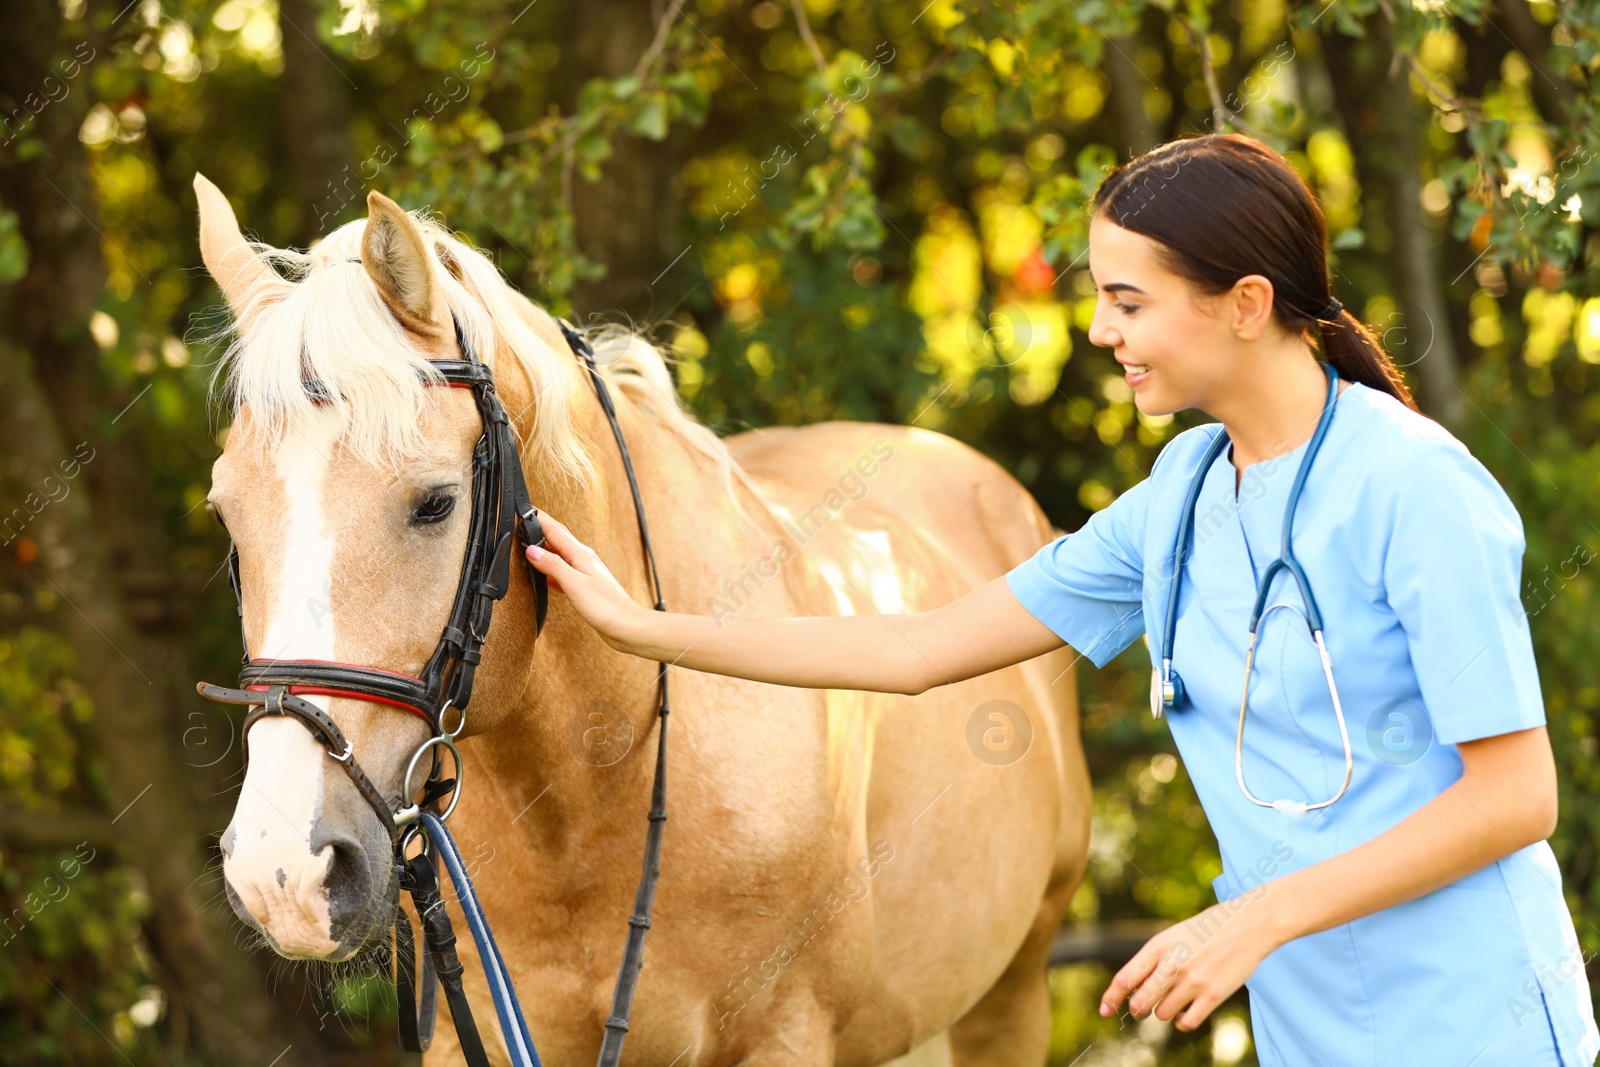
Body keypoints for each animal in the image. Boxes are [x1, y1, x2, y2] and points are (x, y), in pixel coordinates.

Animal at [196, 171, 1088, 1062]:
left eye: (435, 502)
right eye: (226, 514)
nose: (283, 871)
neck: (593, 796)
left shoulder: (789, 1033)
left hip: (1009, 995)